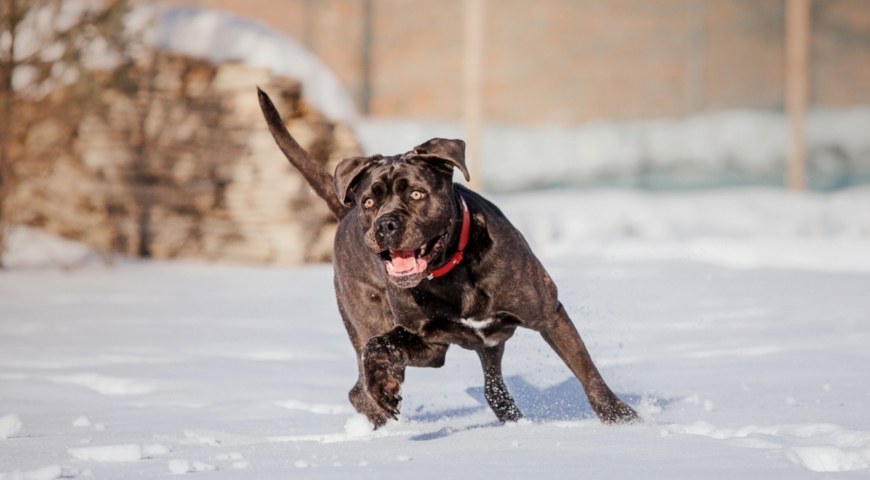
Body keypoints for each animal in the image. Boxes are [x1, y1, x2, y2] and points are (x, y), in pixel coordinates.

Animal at [258, 89, 640, 428]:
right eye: (369, 201)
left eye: (416, 194)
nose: (385, 224)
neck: (450, 272)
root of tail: (343, 210)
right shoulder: (428, 341)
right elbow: (377, 347)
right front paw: (382, 390)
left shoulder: (548, 313)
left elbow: (586, 370)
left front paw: (621, 419)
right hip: (367, 315)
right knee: (362, 379)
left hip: (491, 342)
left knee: (493, 388)